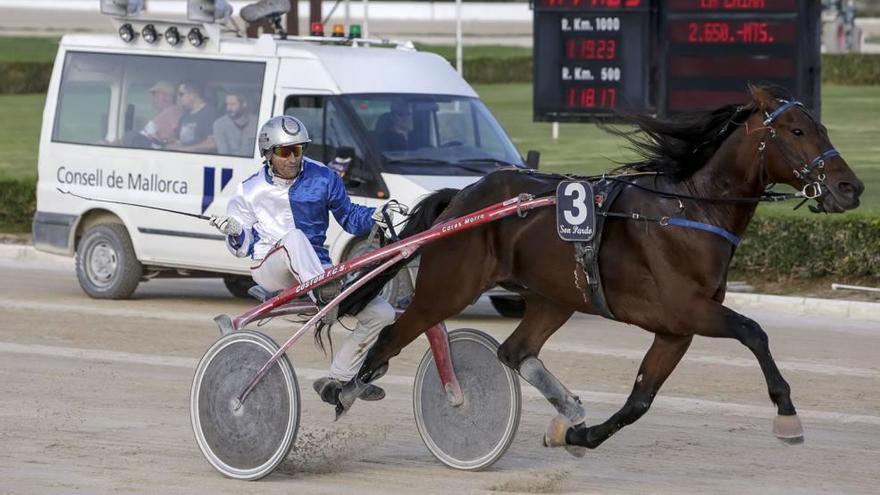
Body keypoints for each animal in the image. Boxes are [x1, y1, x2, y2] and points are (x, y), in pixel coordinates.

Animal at [334, 85, 864, 454]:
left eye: (823, 128)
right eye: (797, 131)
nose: (850, 187)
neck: (690, 212)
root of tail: (462, 199)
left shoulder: (676, 329)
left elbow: (640, 400)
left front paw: (577, 436)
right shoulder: (688, 310)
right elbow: (754, 332)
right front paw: (787, 414)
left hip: (554, 297)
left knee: (515, 350)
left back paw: (568, 409)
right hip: (448, 288)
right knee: (392, 336)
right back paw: (344, 390)